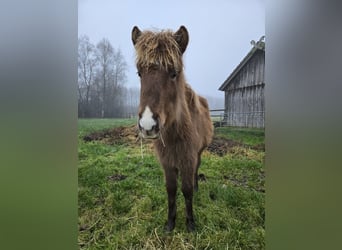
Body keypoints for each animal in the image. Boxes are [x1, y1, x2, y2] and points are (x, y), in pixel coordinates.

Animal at [132, 25, 212, 232]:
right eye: (139, 73)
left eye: (174, 73)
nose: (148, 125)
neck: (175, 135)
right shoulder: (167, 163)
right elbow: (171, 190)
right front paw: (170, 223)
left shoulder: (188, 159)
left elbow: (186, 190)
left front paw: (190, 223)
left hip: (198, 154)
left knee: (196, 171)